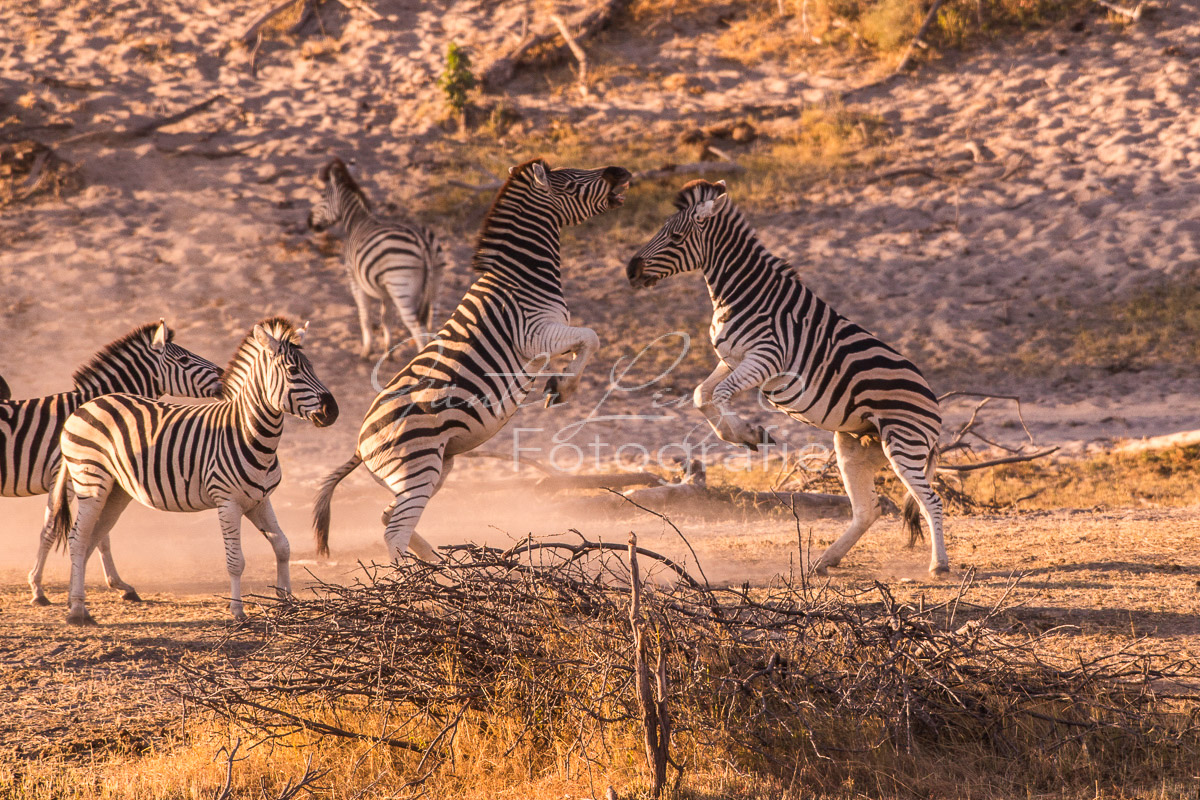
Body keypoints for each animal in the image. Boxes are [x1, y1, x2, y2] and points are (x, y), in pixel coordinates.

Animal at [9, 316, 225, 599]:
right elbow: (53, 528)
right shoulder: (68, 478)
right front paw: (37, 587)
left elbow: (101, 534)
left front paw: (119, 584)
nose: (224, 373)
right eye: (184, 359)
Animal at [47, 319, 338, 623]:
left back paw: (80, 604)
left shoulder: (259, 500)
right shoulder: (228, 502)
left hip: (115, 492)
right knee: (78, 540)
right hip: (90, 482)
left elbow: (283, 546)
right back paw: (77, 611)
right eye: (293, 371)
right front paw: (237, 610)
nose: (333, 411)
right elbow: (236, 561)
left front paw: (287, 602)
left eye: (312, 367)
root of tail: (85, 405)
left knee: (91, 539)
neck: (249, 434)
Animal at [309, 158, 451, 357]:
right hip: (436, 284)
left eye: (322, 195)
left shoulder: (355, 281)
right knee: (433, 324)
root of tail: (424, 243)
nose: (309, 222)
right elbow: (386, 318)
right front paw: (388, 351)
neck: (357, 221)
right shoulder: (386, 291)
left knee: (418, 329)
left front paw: (366, 351)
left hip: (401, 288)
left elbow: (365, 316)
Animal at [624, 179, 950, 575]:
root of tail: (935, 406)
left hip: (903, 442)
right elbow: (702, 395)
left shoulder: (766, 358)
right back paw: (826, 560)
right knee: (868, 509)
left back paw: (938, 564)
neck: (743, 294)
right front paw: (743, 435)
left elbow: (720, 395)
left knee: (931, 501)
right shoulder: (732, 359)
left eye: (674, 236)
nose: (630, 270)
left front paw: (747, 433)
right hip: (856, 446)